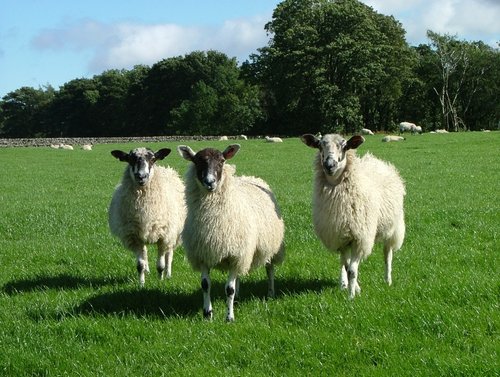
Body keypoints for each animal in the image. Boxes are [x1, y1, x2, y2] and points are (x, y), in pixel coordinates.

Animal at [108, 147, 187, 284]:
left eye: (153, 159)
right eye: (130, 159)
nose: (141, 176)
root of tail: (167, 169)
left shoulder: (163, 236)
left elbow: (160, 265)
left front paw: (160, 281)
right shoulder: (135, 237)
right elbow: (140, 265)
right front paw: (141, 283)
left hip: (173, 233)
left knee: (169, 254)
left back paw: (168, 274)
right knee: (145, 255)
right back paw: (147, 271)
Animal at [178, 142, 284, 320]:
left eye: (221, 161)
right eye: (197, 161)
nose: (210, 182)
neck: (212, 221)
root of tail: (252, 177)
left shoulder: (236, 255)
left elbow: (229, 289)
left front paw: (229, 317)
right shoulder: (203, 255)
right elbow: (205, 285)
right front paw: (207, 314)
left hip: (270, 245)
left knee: (269, 268)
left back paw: (270, 293)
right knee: (239, 276)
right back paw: (238, 297)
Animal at [300, 134, 406, 298]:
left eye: (344, 146)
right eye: (319, 146)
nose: (329, 165)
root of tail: (376, 160)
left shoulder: (359, 238)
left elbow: (352, 270)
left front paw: (351, 297)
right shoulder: (342, 238)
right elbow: (346, 266)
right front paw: (354, 288)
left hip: (393, 228)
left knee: (387, 254)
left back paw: (387, 280)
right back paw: (344, 284)